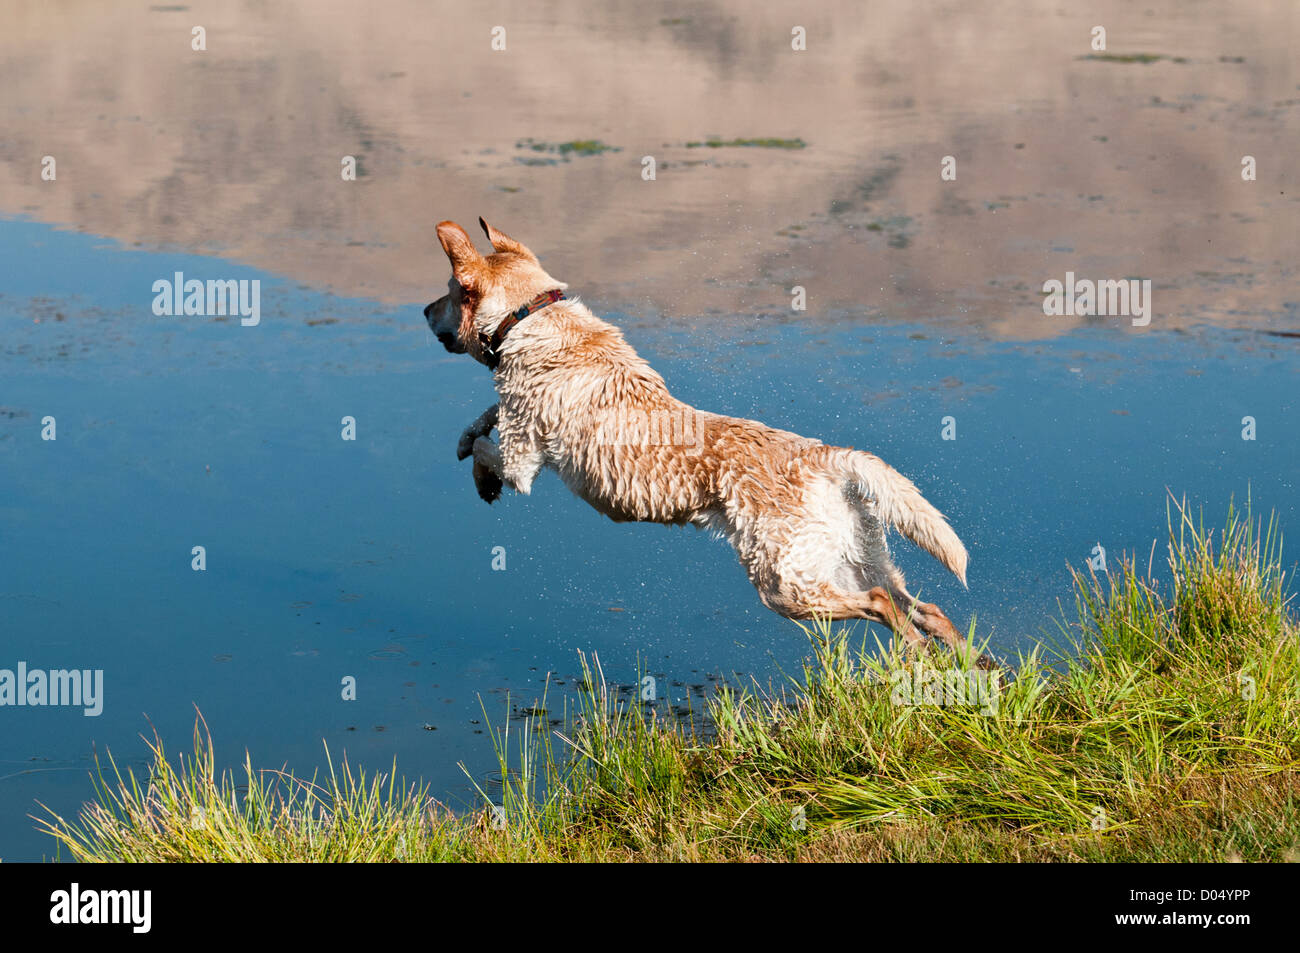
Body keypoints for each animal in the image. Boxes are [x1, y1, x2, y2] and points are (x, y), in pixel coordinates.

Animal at [423, 218, 982, 665]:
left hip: (786, 585)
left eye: (448, 292)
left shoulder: (522, 459)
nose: (424, 311)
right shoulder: (513, 417)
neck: (529, 316)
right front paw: (466, 435)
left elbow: (490, 450)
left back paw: (926, 661)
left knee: (883, 605)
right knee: (925, 608)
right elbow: (485, 416)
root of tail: (827, 457)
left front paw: (480, 475)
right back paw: (967, 667)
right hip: (853, 556)